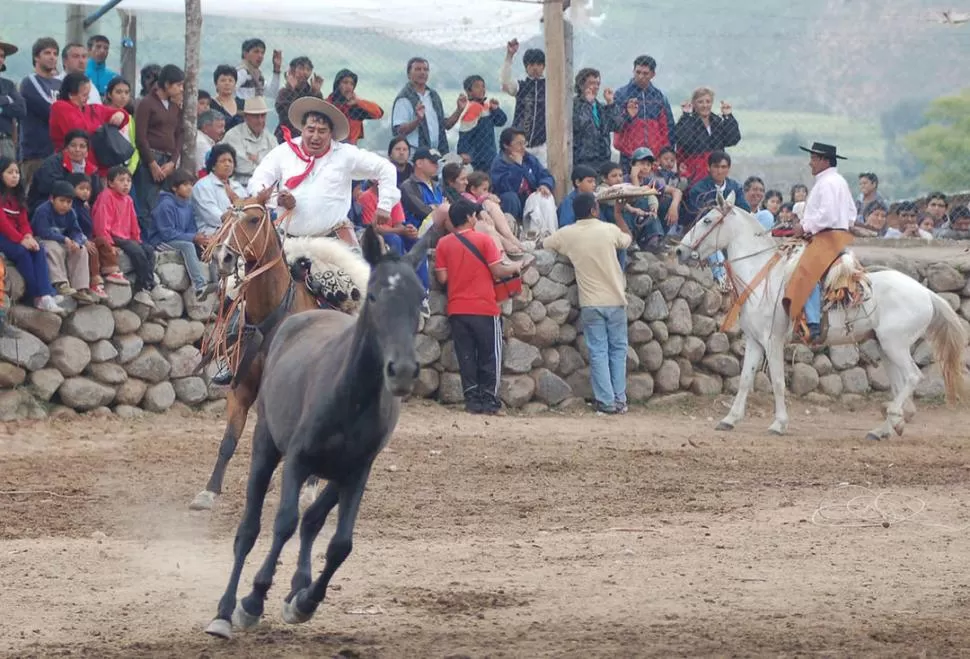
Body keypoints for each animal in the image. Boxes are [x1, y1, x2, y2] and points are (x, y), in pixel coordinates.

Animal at [206, 226, 430, 640]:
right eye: (374, 295)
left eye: (418, 298)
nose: (403, 370)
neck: (349, 397)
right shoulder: (297, 459)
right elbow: (283, 524)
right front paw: (253, 601)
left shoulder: (357, 471)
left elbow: (339, 543)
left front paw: (305, 599)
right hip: (265, 447)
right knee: (249, 529)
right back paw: (225, 611)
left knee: (312, 521)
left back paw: (297, 587)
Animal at [668, 192, 964, 438]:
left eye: (707, 220)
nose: (679, 250)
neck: (762, 276)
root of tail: (926, 293)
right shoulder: (754, 341)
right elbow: (744, 380)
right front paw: (730, 419)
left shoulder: (772, 341)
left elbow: (777, 381)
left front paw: (779, 423)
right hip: (885, 346)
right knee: (901, 382)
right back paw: (886, 427)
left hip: (895, 344)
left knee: (914, 377)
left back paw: (891, 416)